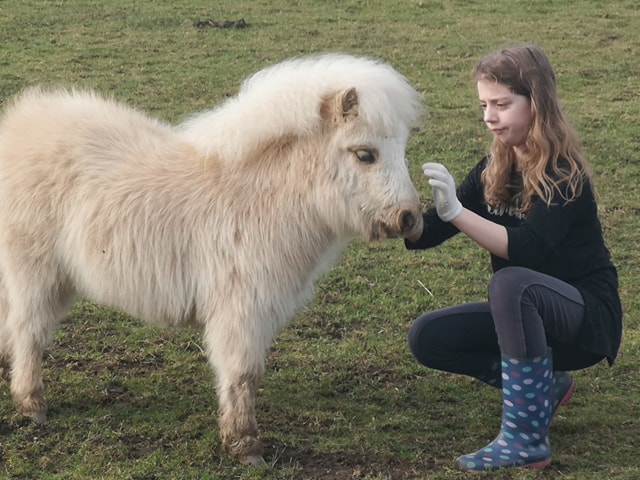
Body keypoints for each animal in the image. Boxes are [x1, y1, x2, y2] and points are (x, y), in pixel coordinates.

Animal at [0, 53, 424, 464]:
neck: (260, 199)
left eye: (402, 148)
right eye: (365, 154)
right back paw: (32, 403)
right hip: (36, 273)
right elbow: (242, 373)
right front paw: (245, 445)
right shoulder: (241, 308)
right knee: (27, 329)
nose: (410, 220)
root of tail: (18, 125)